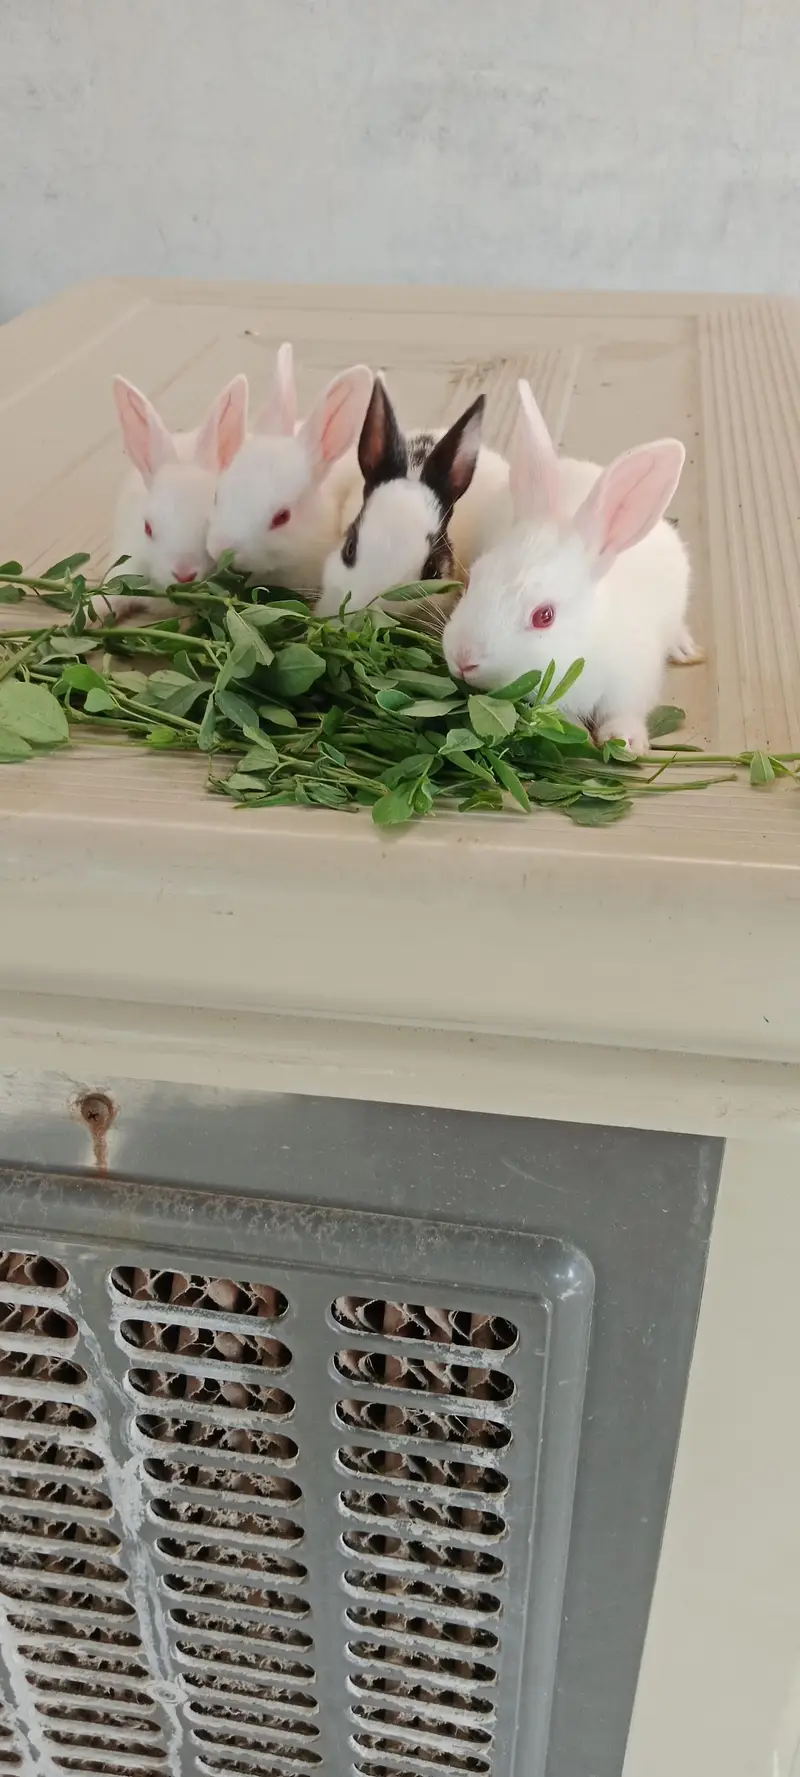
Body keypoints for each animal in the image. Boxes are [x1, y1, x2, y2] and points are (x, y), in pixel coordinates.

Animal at [442, 380, 701, 756]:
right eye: (472, 581)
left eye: (544, 616)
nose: (464, 659)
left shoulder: (633, 682)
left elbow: (625, 712)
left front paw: (626, 742)